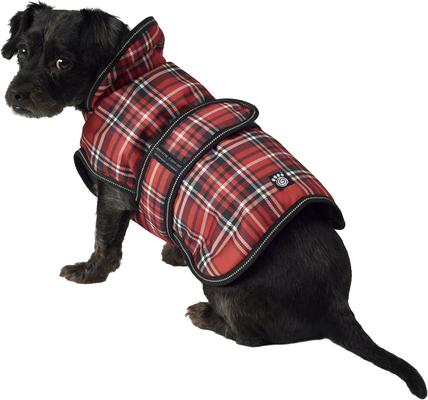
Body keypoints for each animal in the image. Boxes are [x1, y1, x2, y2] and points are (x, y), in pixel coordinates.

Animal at [2, 3, 426, 398]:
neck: (123, 75)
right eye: (22, 51)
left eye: (62, 62)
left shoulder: (112, 193)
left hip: (224, 291)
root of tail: (338, 304)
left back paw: (206, 317)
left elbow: (104, 243)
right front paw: (176, 252)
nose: (15, 95)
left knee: (252, 338)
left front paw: (87, 273)